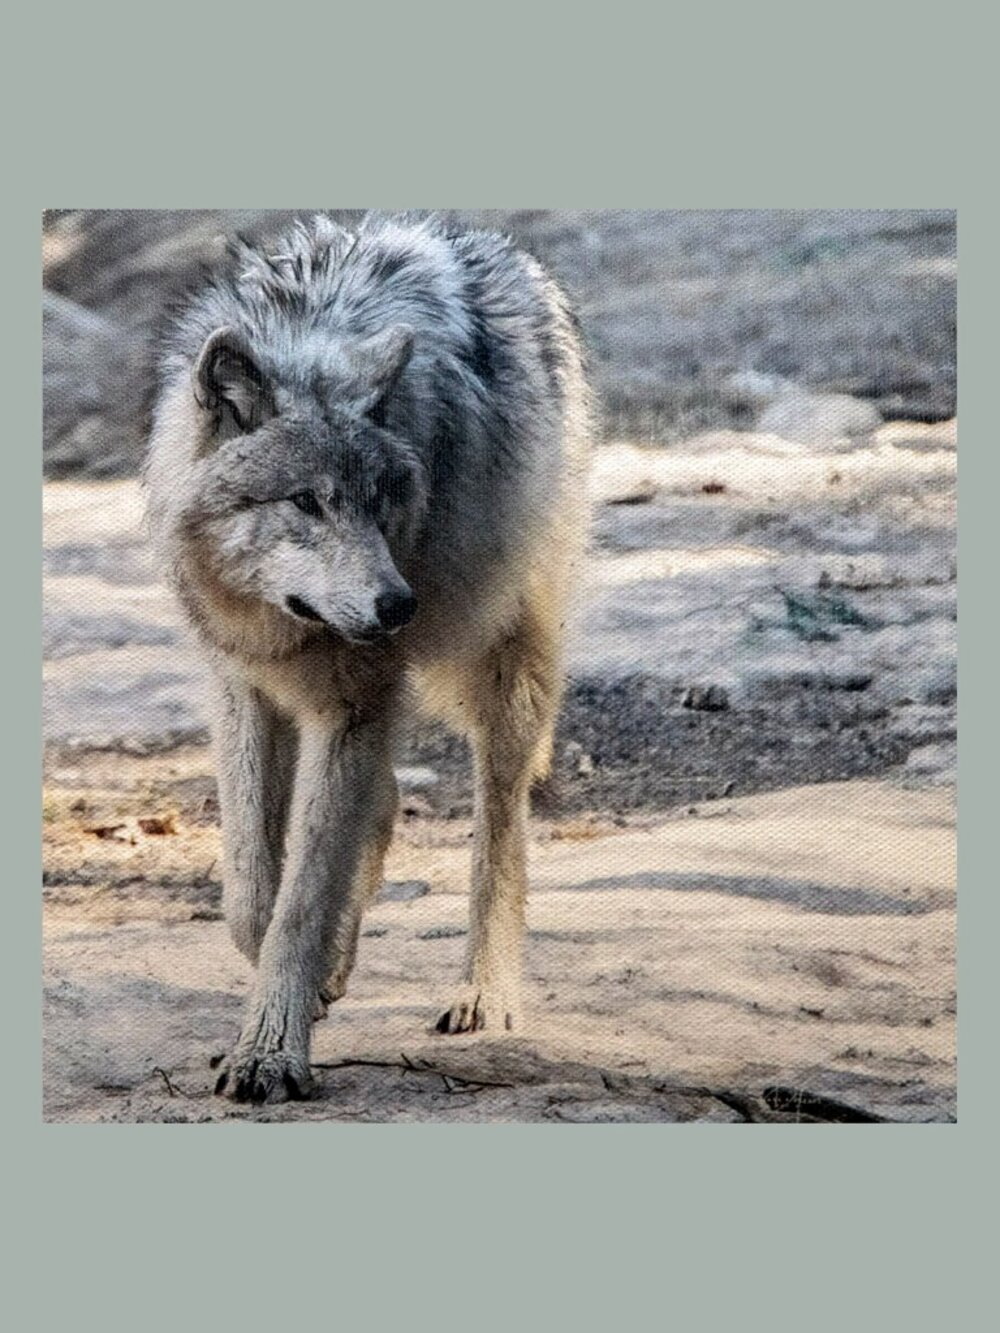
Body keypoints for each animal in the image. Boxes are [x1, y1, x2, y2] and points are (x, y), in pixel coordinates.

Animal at [145, 213, 592, 1103]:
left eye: (380, 499)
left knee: (500, 828)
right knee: (382, 803)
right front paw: (296, 988)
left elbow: (301, 899)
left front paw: (270, 1049)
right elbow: (255, 886)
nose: (397, 606)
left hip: (505, 672)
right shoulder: (243, 686)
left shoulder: (353, 700)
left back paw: (486, 992)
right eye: (306, 501)